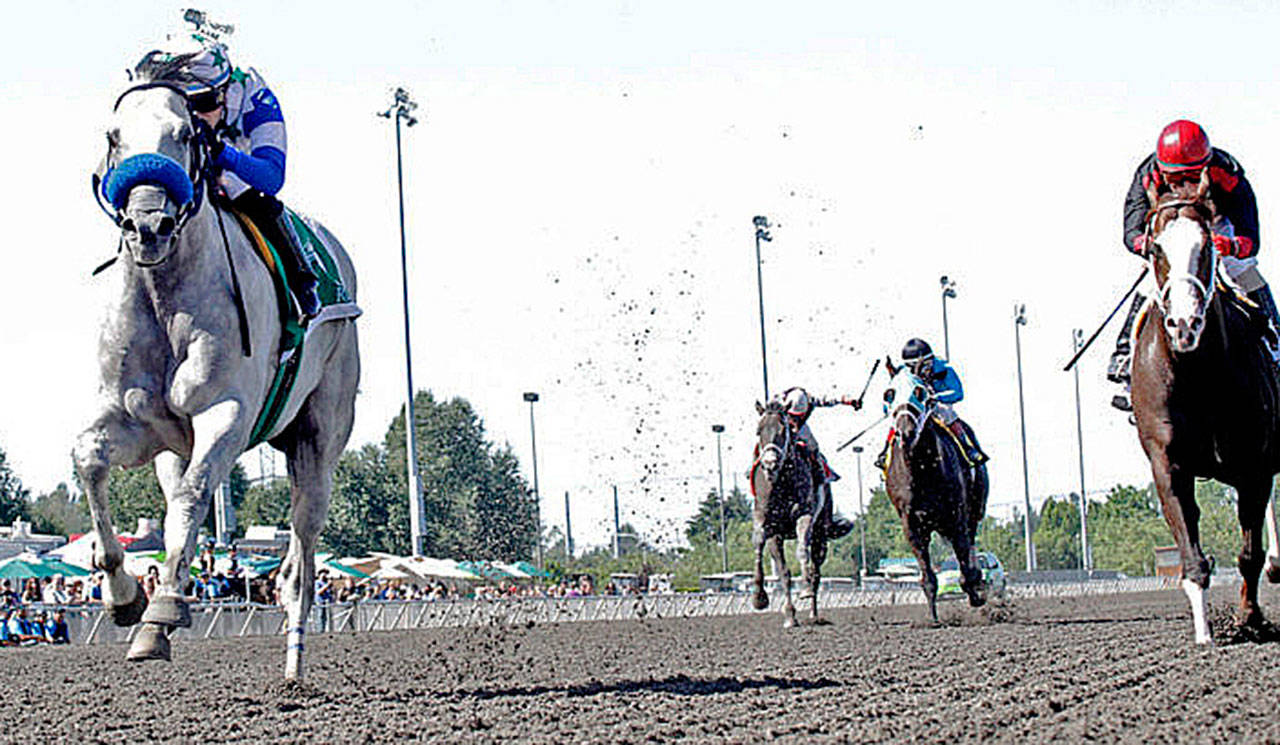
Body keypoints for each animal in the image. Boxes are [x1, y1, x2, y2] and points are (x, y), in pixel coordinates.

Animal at [75, 71, 360, 675]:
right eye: (113, 136)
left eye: (185, 134)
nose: (148, 224)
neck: (165, 297)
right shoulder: (140, 425)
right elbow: (90, 461)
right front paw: (125, 597)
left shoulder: (225, 413)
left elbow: (193, 497)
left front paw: (161, 613)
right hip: (173, 450)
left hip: (320, 435)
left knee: (301, 557)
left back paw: (295, 664)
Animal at [747, 399, 834, 627]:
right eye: (758, 430)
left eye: (782, 431)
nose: (770, 463)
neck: (781, 482)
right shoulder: (768, 524)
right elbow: (778, 567)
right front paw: (762, 599)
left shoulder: (804, 515)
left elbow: (802, 550)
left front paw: (804, 589)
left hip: (821, 532)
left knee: (816, 571)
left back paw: (814, 613)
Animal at [880, 366, 988, 624]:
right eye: (889, 393)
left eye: (919, 391)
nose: (906, 431)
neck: (922, 470)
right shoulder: (912, 523)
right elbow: (927, 575)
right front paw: (933, 617)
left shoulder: (957, 516)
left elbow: (965, 564)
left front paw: (975, 592)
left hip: (973, 511)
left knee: (970, 543)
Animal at [1131, 168, 1280, 642]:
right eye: (1156, 247)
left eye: (1209, 245)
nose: (1184, 324)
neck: (1198, 374)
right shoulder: (1167, 463)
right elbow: (1191, 555)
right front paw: (1204, 633)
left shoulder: (1254, 466)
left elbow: (1250, 554)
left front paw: (1250, 617)